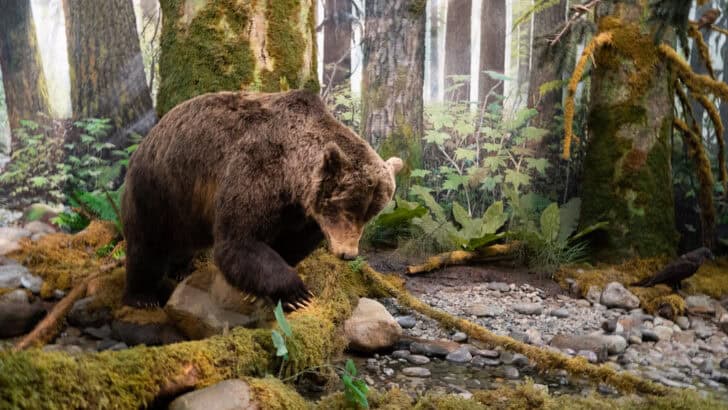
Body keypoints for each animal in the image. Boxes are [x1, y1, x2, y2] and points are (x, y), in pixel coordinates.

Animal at [121, 90, 402, 310]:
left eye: (370, 214)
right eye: (347, 208)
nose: (348, 254)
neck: (292, 178)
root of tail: (148, 137)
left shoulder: (300, 212)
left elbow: (290, 242)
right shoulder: (257, 170)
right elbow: (240, 241)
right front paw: (297, 293)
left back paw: (181, 268)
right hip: (159, 188)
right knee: (147, 244)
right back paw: (142, 296)